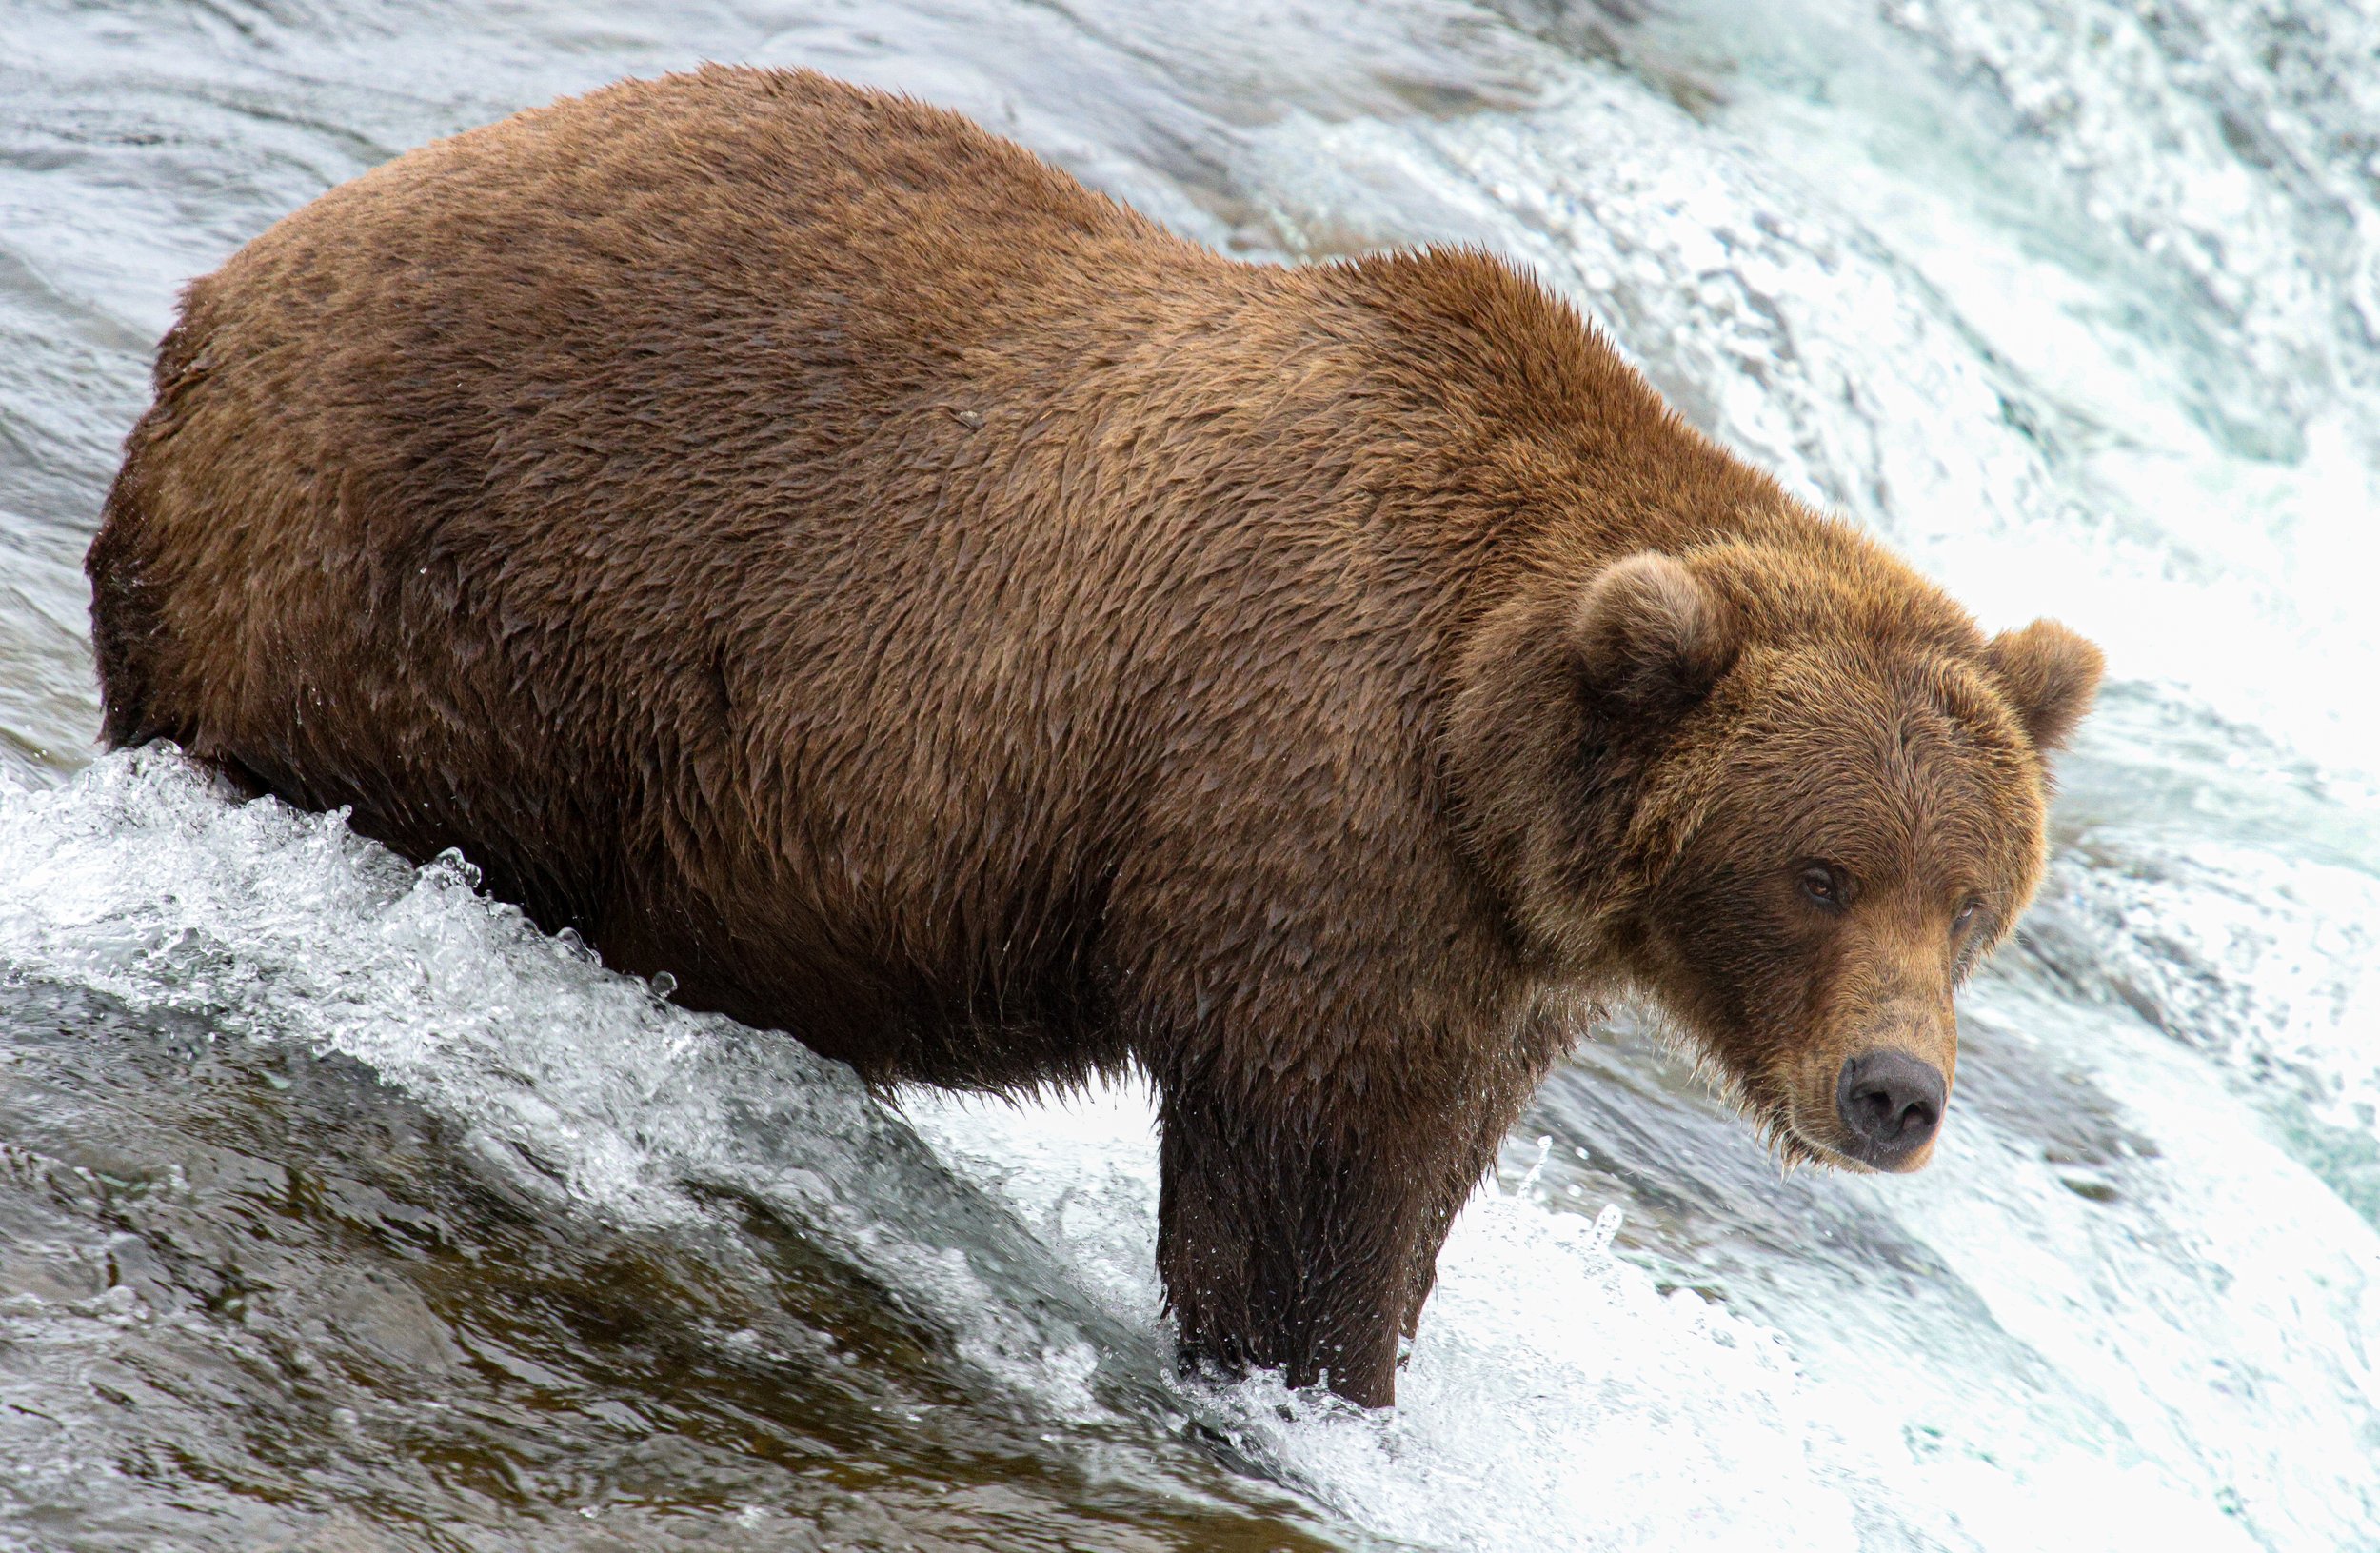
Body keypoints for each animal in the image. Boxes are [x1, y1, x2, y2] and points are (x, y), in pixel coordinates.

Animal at [88, 70, 2104, 1409]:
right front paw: (1308, 1387)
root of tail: (226, 297)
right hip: (455, 589)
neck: (1496, 759)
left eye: (1974, 901)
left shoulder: (1486, 952)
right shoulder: (1309, 808)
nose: (1895, 1093)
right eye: (1821, 868)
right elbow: (1306, 1180)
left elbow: (1424, 1167)